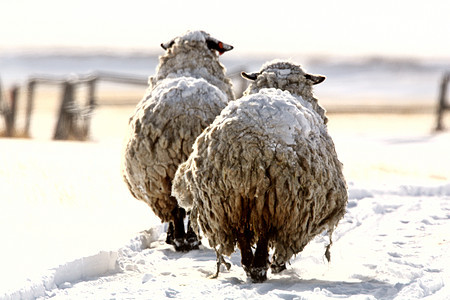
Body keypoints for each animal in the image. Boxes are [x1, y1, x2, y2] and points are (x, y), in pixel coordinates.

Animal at [123, 29, 236, 251]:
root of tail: (187, 116)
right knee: (184, 207)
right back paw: (185, 240)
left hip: (160, 175)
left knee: (178, 209)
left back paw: (181, 240)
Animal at [172, 60, 348, 282]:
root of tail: (250, 147)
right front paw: (278, 265)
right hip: (273, 198)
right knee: (264, 232)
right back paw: (259, 268)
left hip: (228, 201)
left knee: (241, 232)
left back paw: (249, 266)